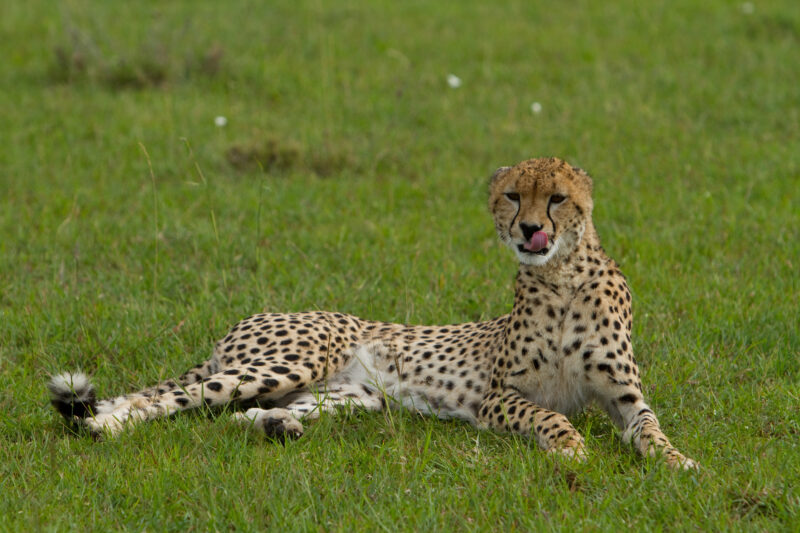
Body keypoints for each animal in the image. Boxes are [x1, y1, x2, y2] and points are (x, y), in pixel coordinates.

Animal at [48, 156, 697, 469]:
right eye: (514, 196)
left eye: (558, 198)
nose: (531, 230)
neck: (561, 279)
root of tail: (244, 322)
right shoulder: (498, 398)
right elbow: (550, 416)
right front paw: (570, 448)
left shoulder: (623, 395)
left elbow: (651, 428)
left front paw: (678, 461)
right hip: (293, 359)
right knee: (170, 398)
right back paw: (104, 426)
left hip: (353, 395)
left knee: (240, 414)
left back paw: (278, 427)